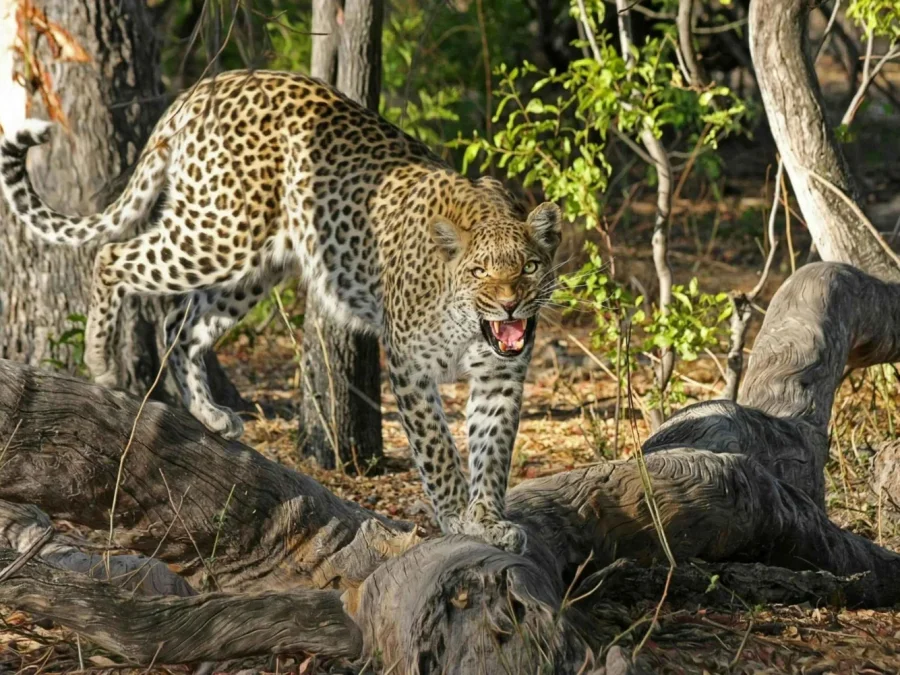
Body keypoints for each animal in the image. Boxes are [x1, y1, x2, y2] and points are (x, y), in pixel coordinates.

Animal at [0, 69, 562, 552]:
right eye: (480, 272)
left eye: (531, 267)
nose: (509, 303)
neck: (470, 323)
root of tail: (207, 86)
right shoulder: (409, 366)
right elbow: (439, 450)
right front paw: (457, 517)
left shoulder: (501, 376)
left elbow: (492, 452)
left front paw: (488, 520)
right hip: (220, 233)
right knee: (113, 256)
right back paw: (102, 362)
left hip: (255, 265)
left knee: (179, 323)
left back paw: (209, 414)